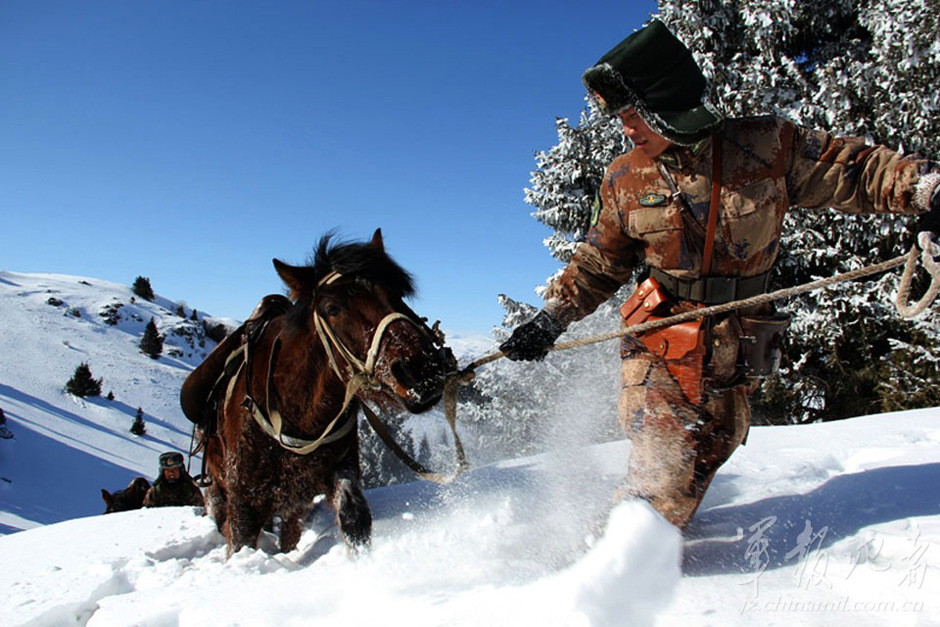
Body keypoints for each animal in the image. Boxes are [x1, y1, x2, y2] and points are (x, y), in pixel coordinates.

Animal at [198, 231, 452, 556]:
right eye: (332, 309)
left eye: (397, 293)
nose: (422, 370)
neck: (296, 413)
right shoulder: (244, 502)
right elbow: (239, 541)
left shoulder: (341, 470)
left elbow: (354, 517)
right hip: (220, 487)